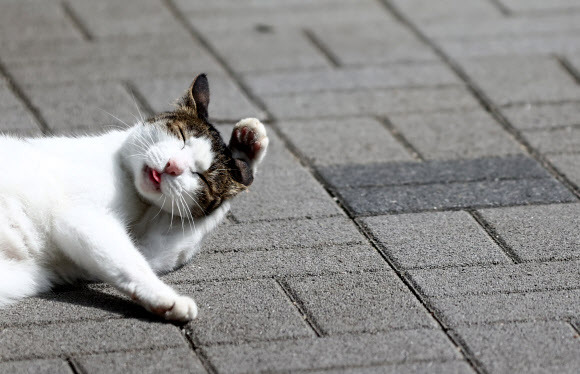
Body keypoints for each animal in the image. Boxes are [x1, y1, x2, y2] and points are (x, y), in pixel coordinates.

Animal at [0, 75, 270, 322]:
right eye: (181, 136)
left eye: (200, 176)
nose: (173, 166)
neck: (137, 199)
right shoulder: (82, 220)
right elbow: (132, 264)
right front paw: (247, 144)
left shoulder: (150, 246)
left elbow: (163, 249)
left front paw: (247, 152)